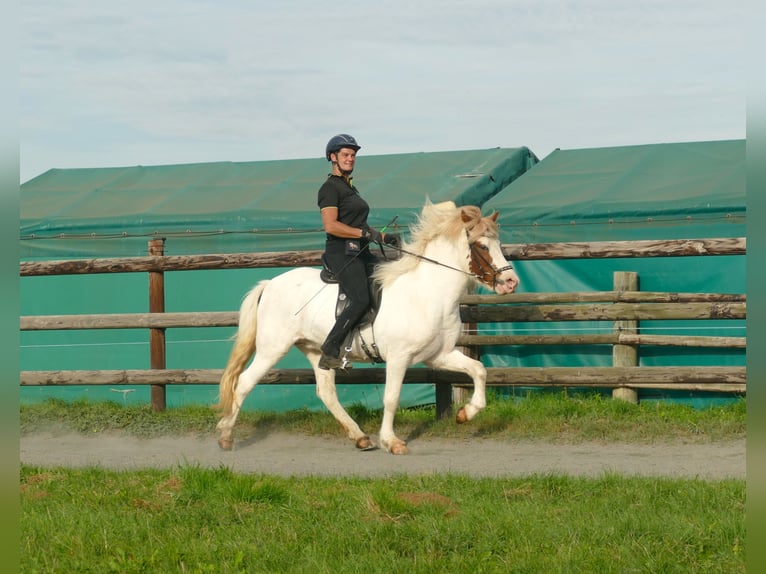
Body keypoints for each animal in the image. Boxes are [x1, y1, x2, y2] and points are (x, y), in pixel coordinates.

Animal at [216, 200, 520, 456]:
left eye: (498, 242)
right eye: (482, 246)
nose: (511, 283)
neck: (428, 293)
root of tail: (270, 284)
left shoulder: (439, 355)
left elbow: (479, 370)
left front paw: (466, 414)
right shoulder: (398, 358)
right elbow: (391, 398)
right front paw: (392, 442)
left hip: (316, 350)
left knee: (325, 392)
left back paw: (360, 437)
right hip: (272, 348)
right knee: (243, 383)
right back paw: (226, 436)